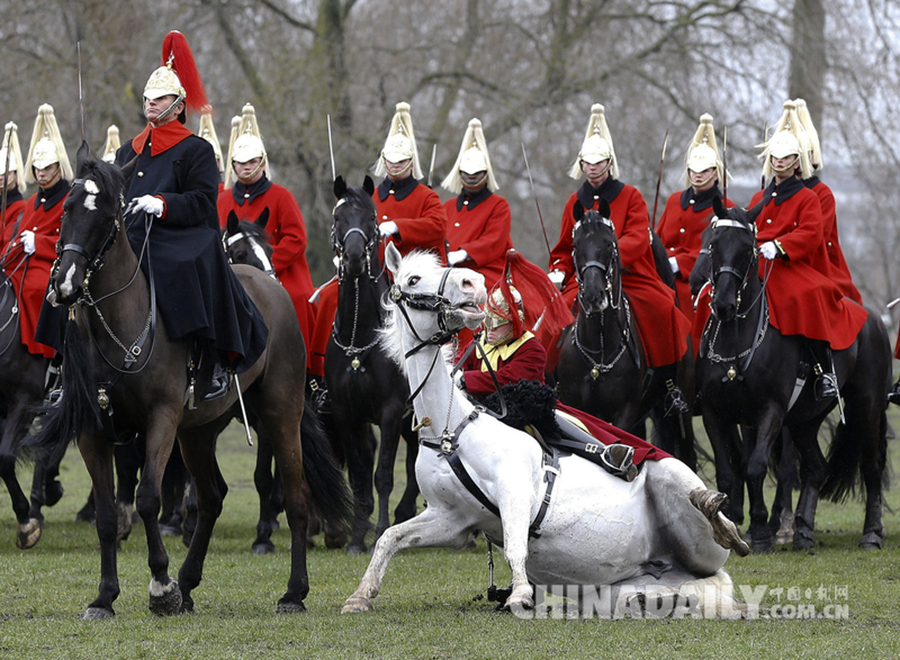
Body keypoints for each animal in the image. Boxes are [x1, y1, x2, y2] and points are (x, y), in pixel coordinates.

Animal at [31, 141, 348, 620]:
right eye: (66, 209)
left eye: (106, 215)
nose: (65, 284)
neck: (120, 324)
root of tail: (273, 291)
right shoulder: (92, 431)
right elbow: (106, 514)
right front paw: (105, 597)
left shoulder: (161, 420)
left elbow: (147, 497)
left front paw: (160, 585)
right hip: (198, 432)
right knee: (213, 495)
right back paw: (189, 583)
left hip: (280, 415)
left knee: (295, 495)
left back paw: (293, 592)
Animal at [342, 245, 748, 616]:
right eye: (412, 279)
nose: (472, 282)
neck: (449, 429)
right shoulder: (452, 518)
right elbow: (390, 538)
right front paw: (361, 595)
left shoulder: (516, 493)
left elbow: (515, 545)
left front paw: (520, 595)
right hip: (620, 588)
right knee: (694, 586)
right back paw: (657, 599)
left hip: (675, 482)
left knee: (712, 526)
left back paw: (718, 517)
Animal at [556, 202, 696, 470]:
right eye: (576, 245)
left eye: (609, 244)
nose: (594, 296)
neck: (599, 349)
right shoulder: (576, 407)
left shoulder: (625, 412)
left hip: (678, 410)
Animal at [692, 200, 888, 552]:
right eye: (714, 244)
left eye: (748, 249)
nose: (724, 304)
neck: (736, 340)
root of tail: (874, 318)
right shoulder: (716, 412)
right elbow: (728, 473)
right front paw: (729, 527)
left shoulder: (771, 410)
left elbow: (755, 466)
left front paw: (759, 530)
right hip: (805, 420)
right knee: (816, 468)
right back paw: (803, 532)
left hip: (867, 405)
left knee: (871, 466)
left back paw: (871, 533)